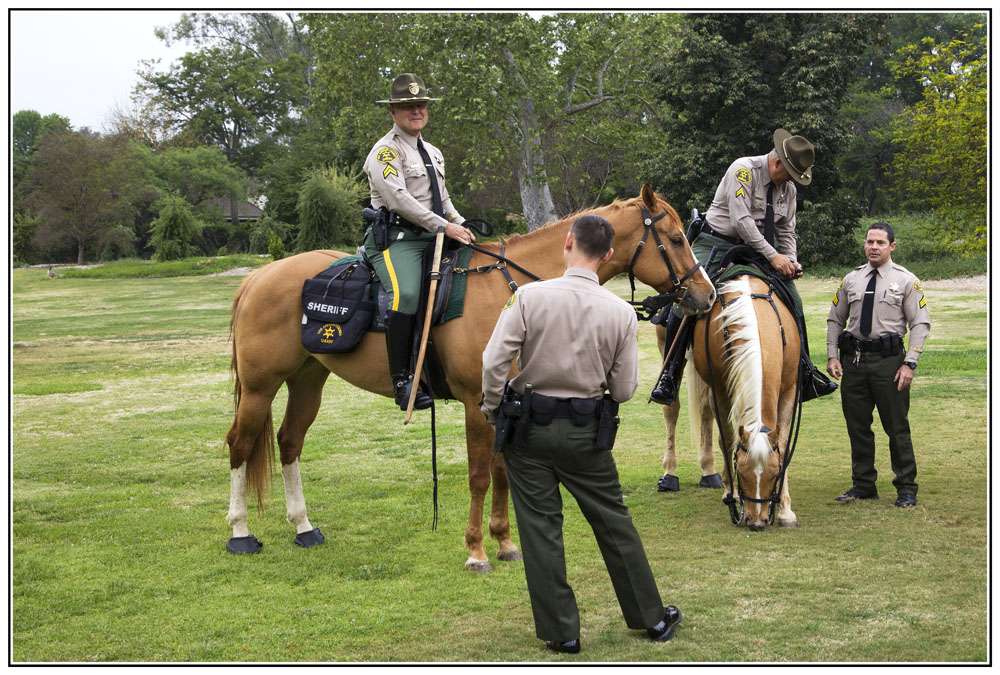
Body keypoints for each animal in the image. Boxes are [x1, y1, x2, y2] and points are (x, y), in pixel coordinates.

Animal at [225, 184, 720, 572]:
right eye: (676, 238)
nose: (706, 294)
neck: (514, 289)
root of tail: (258, 278)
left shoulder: (505, 403)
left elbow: (501, 473)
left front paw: (503, 542)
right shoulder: (477, 404)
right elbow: (480, 476)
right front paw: (476, 550)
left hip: (308, 380)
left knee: (289, 442)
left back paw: (303, 526)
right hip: (260, 387)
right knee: (240, 445)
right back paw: (240, 533)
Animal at [688, 274, 804, 532]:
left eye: (775, 472)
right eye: (741, 471)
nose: (757, 521)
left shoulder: (790, 389)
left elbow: (783, 444)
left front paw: (786, 510)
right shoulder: (720, 390)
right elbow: (728, 439)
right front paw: (732, 494)